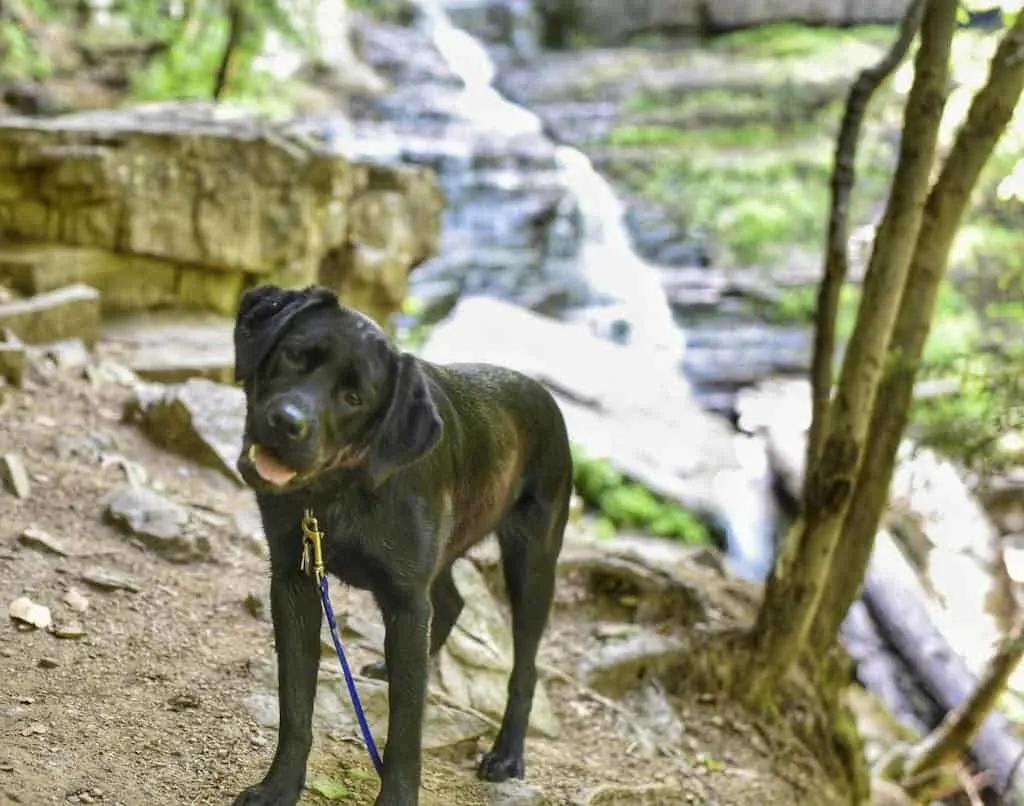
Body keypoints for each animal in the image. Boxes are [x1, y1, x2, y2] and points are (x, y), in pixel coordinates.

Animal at [227, 286, 573, 806]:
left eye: (354, 398)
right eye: (294, 354)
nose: (287, 423)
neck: (340, 492)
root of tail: (545, 396)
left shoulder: (407, 602)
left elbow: (405, 734)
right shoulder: (294, 583)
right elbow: (296, 709)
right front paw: (279, 788)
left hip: (532, 566)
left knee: (525, 667)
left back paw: (507, 755)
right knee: (451, 603)